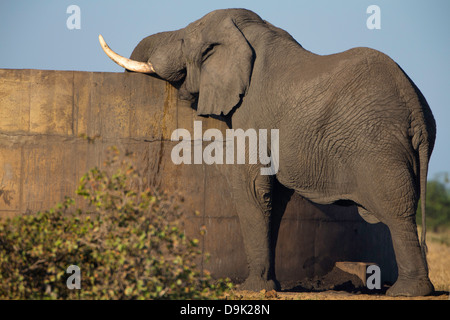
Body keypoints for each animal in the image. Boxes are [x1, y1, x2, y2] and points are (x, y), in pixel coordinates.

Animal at [99, 8, 436, 298]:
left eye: (182, 41)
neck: (247, 32)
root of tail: (416, 111)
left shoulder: (252, 112)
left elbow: (250, 185)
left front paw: (250, 288)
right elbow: (274, 197)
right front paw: (270, 285)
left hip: (377, 147)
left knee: (396, 210)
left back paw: (408, 292)